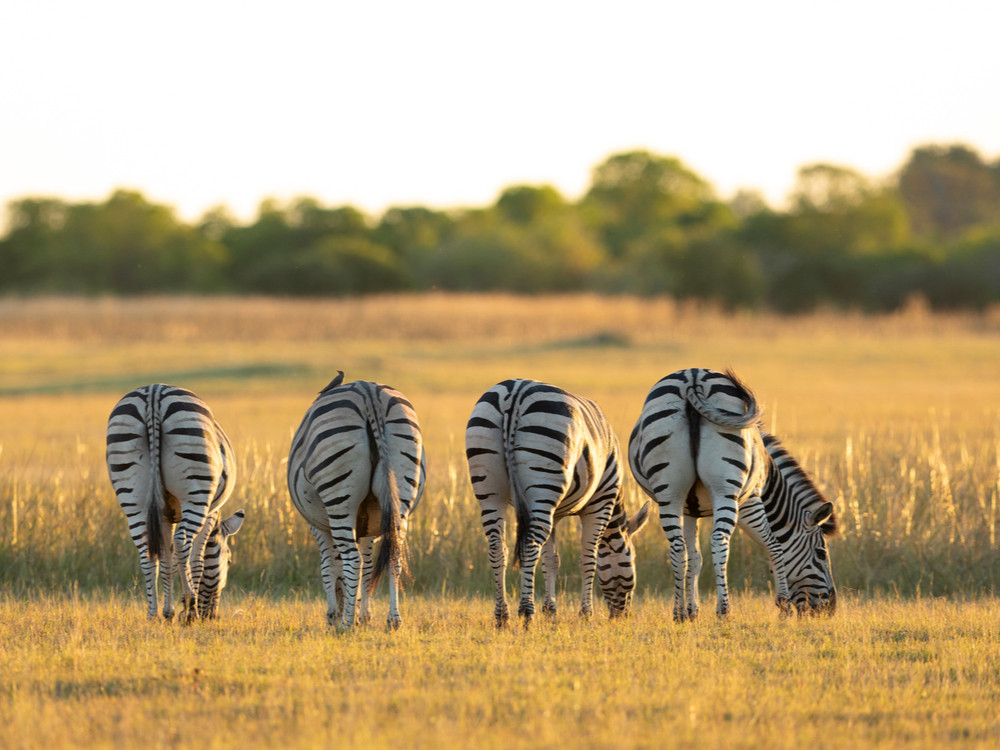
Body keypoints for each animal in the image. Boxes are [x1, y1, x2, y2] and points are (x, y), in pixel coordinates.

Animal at [105, 384, 246, 624]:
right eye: (228, 561)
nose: (213, 616)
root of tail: (154, 393)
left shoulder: (166, 514)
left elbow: (167, 558)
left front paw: (168, 612)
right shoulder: (210, 513)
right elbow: (196, 559)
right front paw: (188, 611)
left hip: (132, 494)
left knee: (146, 550)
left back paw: (152, 614)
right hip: (197, 490)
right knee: (182, 540)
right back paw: (190, 602)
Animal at [286, 374, 426, 632]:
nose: (340, 616)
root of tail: (369, 394)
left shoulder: (318, 526)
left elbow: (329, 568)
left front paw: (334, 616)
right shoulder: (370, 523)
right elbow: (368, 568)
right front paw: (365, 615)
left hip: (338, 496)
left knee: (352, 559)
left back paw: (346, 625)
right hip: (400, 495)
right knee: (394, 556)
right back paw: (393, 620)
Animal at [466, 378, 652, 632]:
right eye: (631, 560)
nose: (621, 618)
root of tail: (515, 392)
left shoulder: (553, 515)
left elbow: (551, 560)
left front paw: (550, 612)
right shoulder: (600, 504)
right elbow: (588, 559)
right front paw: (585, 614)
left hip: (491, 490)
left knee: (497, 547)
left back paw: (502, 616)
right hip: (544, 479)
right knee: (529, 546)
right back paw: (526, 613)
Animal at [632, 368, 836, 624]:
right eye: (821, 553)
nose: (830, 611)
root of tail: (693, 377)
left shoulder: (689, 509)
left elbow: (694, 558)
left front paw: (692, 612)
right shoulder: (751, 500)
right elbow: (774, 545)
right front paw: (783, 605)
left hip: (670, 490)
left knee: (677, 547)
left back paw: (678, 613)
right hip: (726, 489)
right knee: (720, 541)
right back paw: (724, 611)